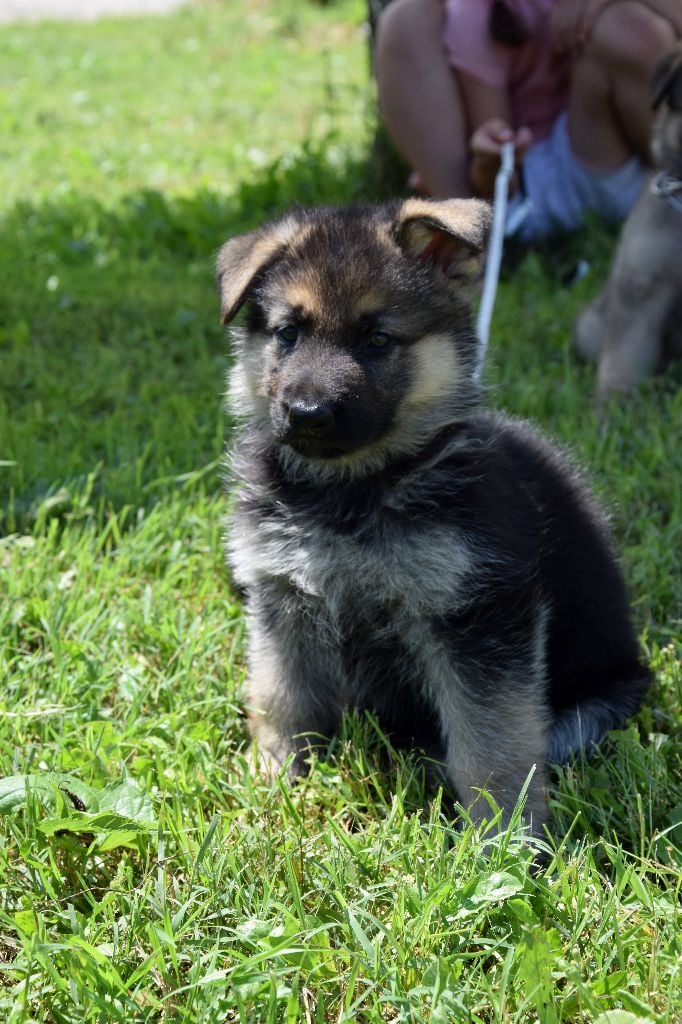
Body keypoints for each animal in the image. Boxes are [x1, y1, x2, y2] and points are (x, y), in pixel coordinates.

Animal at [216, 195, 647, 835]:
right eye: (288, 334)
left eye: (376, 338)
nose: (307, 414)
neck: (354, 489)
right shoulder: (282, 601)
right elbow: (282, 701)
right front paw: (275, 783)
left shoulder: (477, 620)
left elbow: (491, 746)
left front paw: (505, 837)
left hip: (589, 709)